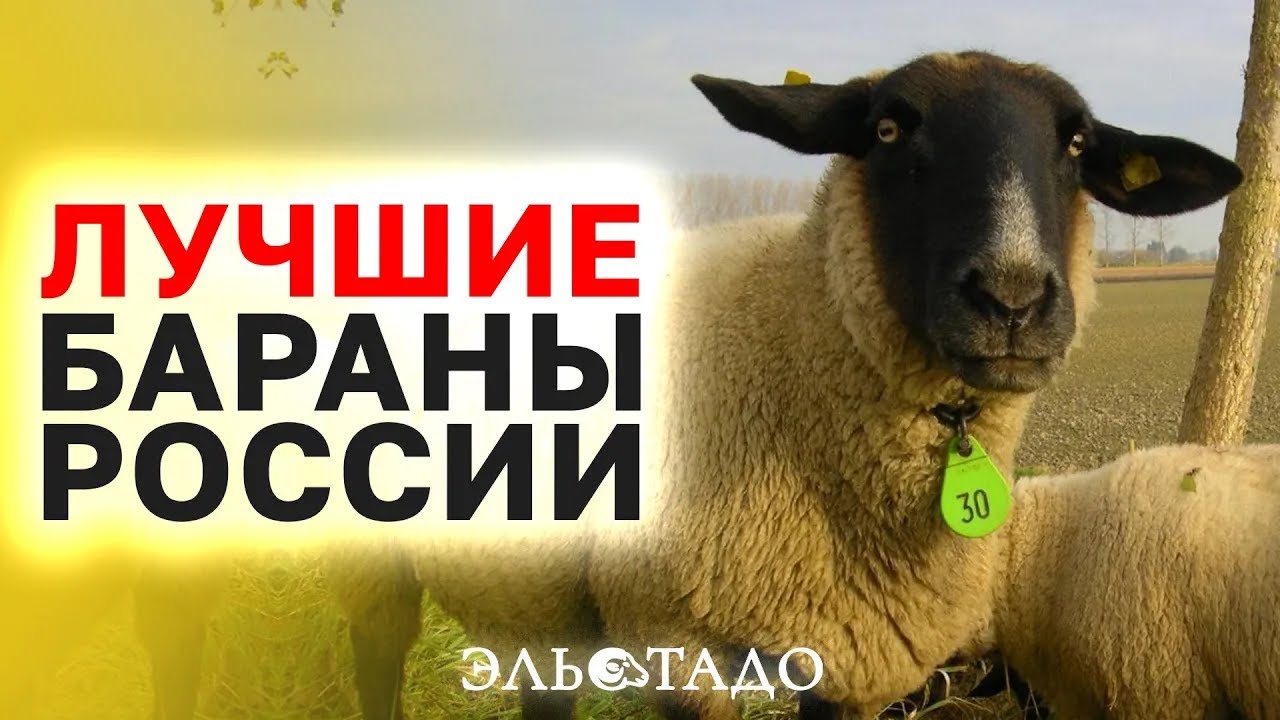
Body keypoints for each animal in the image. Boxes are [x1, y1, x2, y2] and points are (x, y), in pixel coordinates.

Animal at [324, 49, 1244, 720]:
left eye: (1078, 145)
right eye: (886, 128)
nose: (1012, 298)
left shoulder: (853, 654)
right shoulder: (678, 641)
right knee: (377, 660)